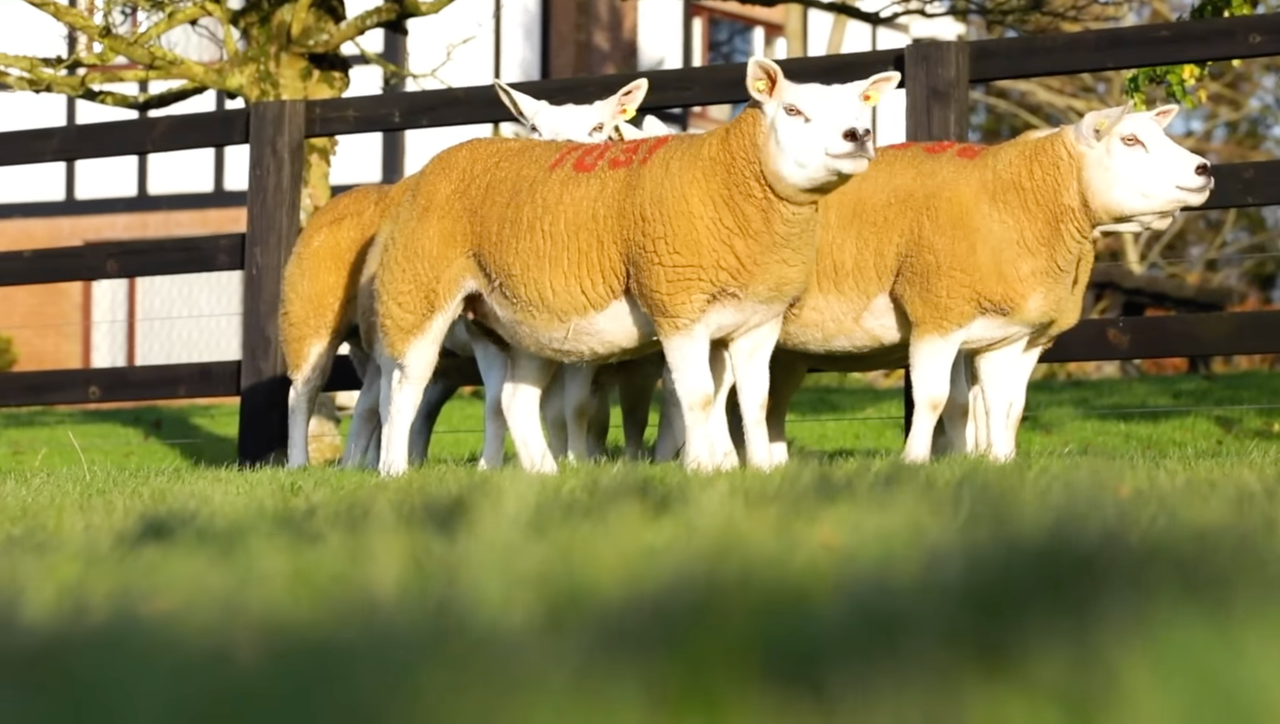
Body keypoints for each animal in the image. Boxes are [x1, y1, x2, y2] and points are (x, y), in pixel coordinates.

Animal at [281, 77, 652, 469]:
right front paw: (504, 465)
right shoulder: (488, 335)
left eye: (599, 128)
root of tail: (341, 198)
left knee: (377, 402)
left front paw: (569, 461)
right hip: (312, 316)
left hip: (393, 343)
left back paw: (362, 463)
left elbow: (576, 408)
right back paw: (301, 462)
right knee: (304, 391)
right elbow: (510, 406)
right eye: (534, 129)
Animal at [366, 58, 903, 477]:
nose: (858, 135)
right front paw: (702, 469)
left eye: (861, 110)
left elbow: (754, 401)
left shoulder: (759, 320)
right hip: (417, 291)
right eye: (792, 110)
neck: (733, 182)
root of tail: (445, 159)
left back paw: (544, 474)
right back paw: (394, 472)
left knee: (513, 400)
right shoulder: (676, 303)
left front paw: (760, 471)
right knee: (403, 390)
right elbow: (697, 398)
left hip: (522, 321)